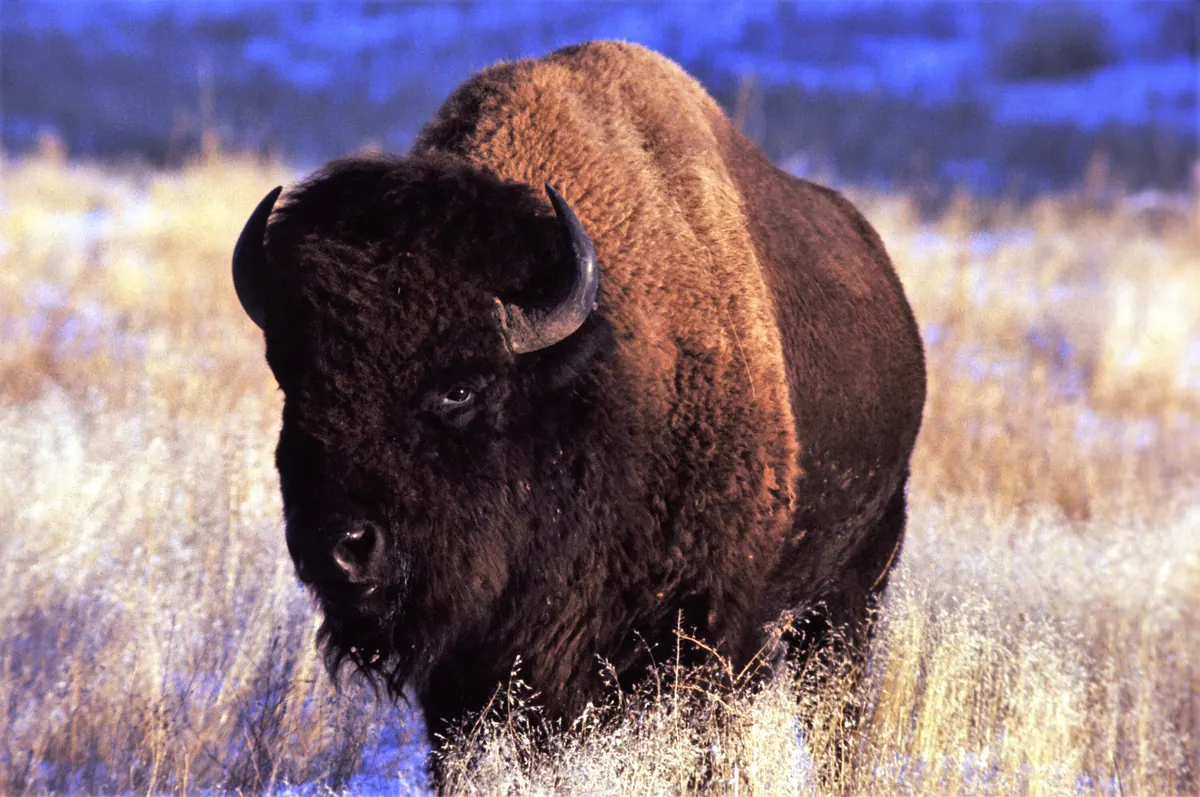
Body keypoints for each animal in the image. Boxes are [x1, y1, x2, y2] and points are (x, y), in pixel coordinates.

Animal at [232, 41, 925, 770]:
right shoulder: (474, 674)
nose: (341, 549)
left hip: (853, 588)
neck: (589, 378)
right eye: (295, 379)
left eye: (460, 387)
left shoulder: (704, 637)